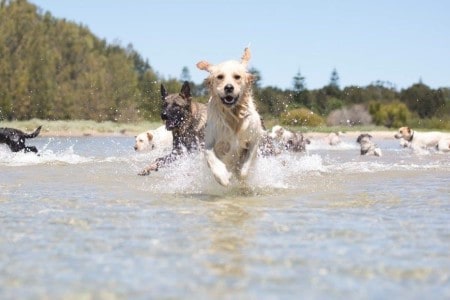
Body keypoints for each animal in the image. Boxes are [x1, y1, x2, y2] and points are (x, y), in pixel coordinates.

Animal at [197, 47, 264, 186]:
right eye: (220, 77)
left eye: (237, 77)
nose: (228, 87)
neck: (233, 115)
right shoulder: (210, 140)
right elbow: (210, 156)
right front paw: (223, 176)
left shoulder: (255, 137)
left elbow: (245, 166)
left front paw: (238, 174)